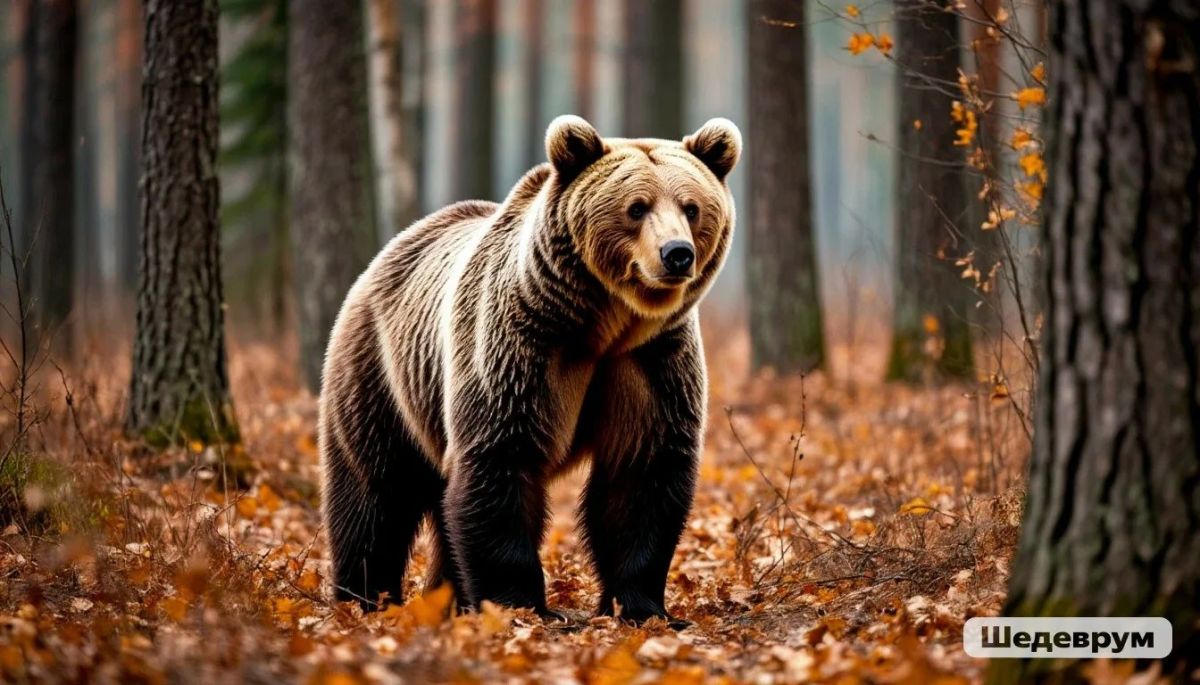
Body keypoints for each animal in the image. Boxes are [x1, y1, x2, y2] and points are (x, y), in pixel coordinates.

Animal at [319, 114, 741, 625]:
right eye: (637, 208)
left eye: (691, 207)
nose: (676, 253)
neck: (604, 324)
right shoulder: (521, 344)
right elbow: (502, 456)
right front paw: (520, 605)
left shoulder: (651, 360)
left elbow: (642, 472)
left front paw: (643, 607)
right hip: (381, 370)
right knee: (375, 491)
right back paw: (364, 597)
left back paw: (446, 598)